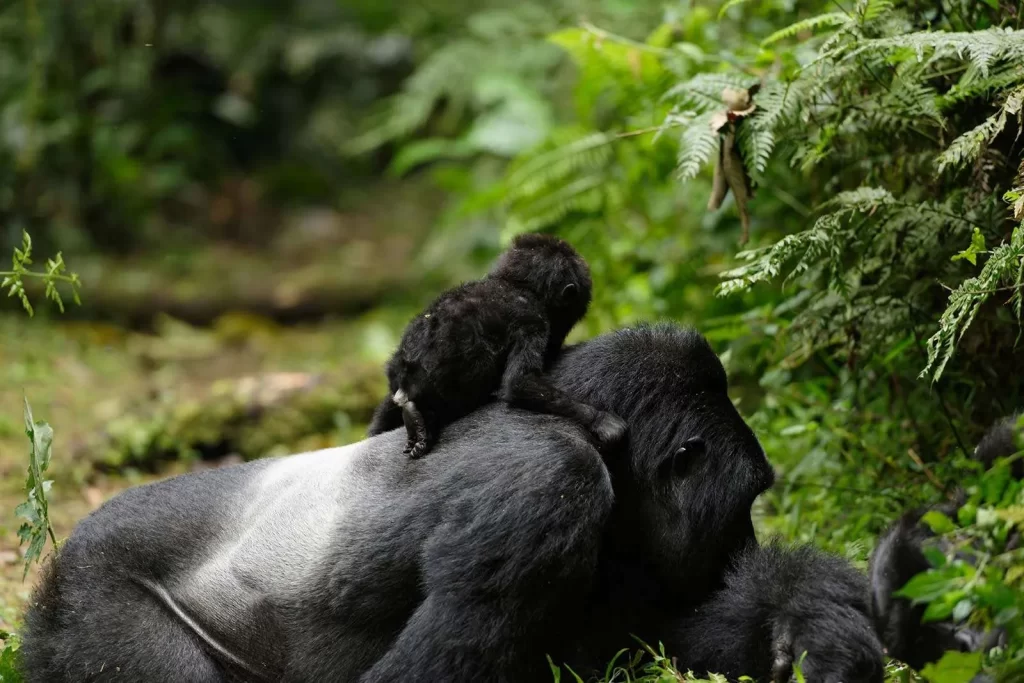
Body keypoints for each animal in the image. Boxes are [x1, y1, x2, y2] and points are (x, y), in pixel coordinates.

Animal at [19, 325, 884, 683]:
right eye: (743, 505)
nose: (745, 550)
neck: (578, 417)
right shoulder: (547, 486)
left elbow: (657, 645)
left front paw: (808, 616)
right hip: (94, 594)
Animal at [366, 235, 622, 458]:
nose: (558, 341)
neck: (516, 285)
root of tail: (407, 379)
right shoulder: (534, 321)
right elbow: (520, 382)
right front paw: (600, 420)